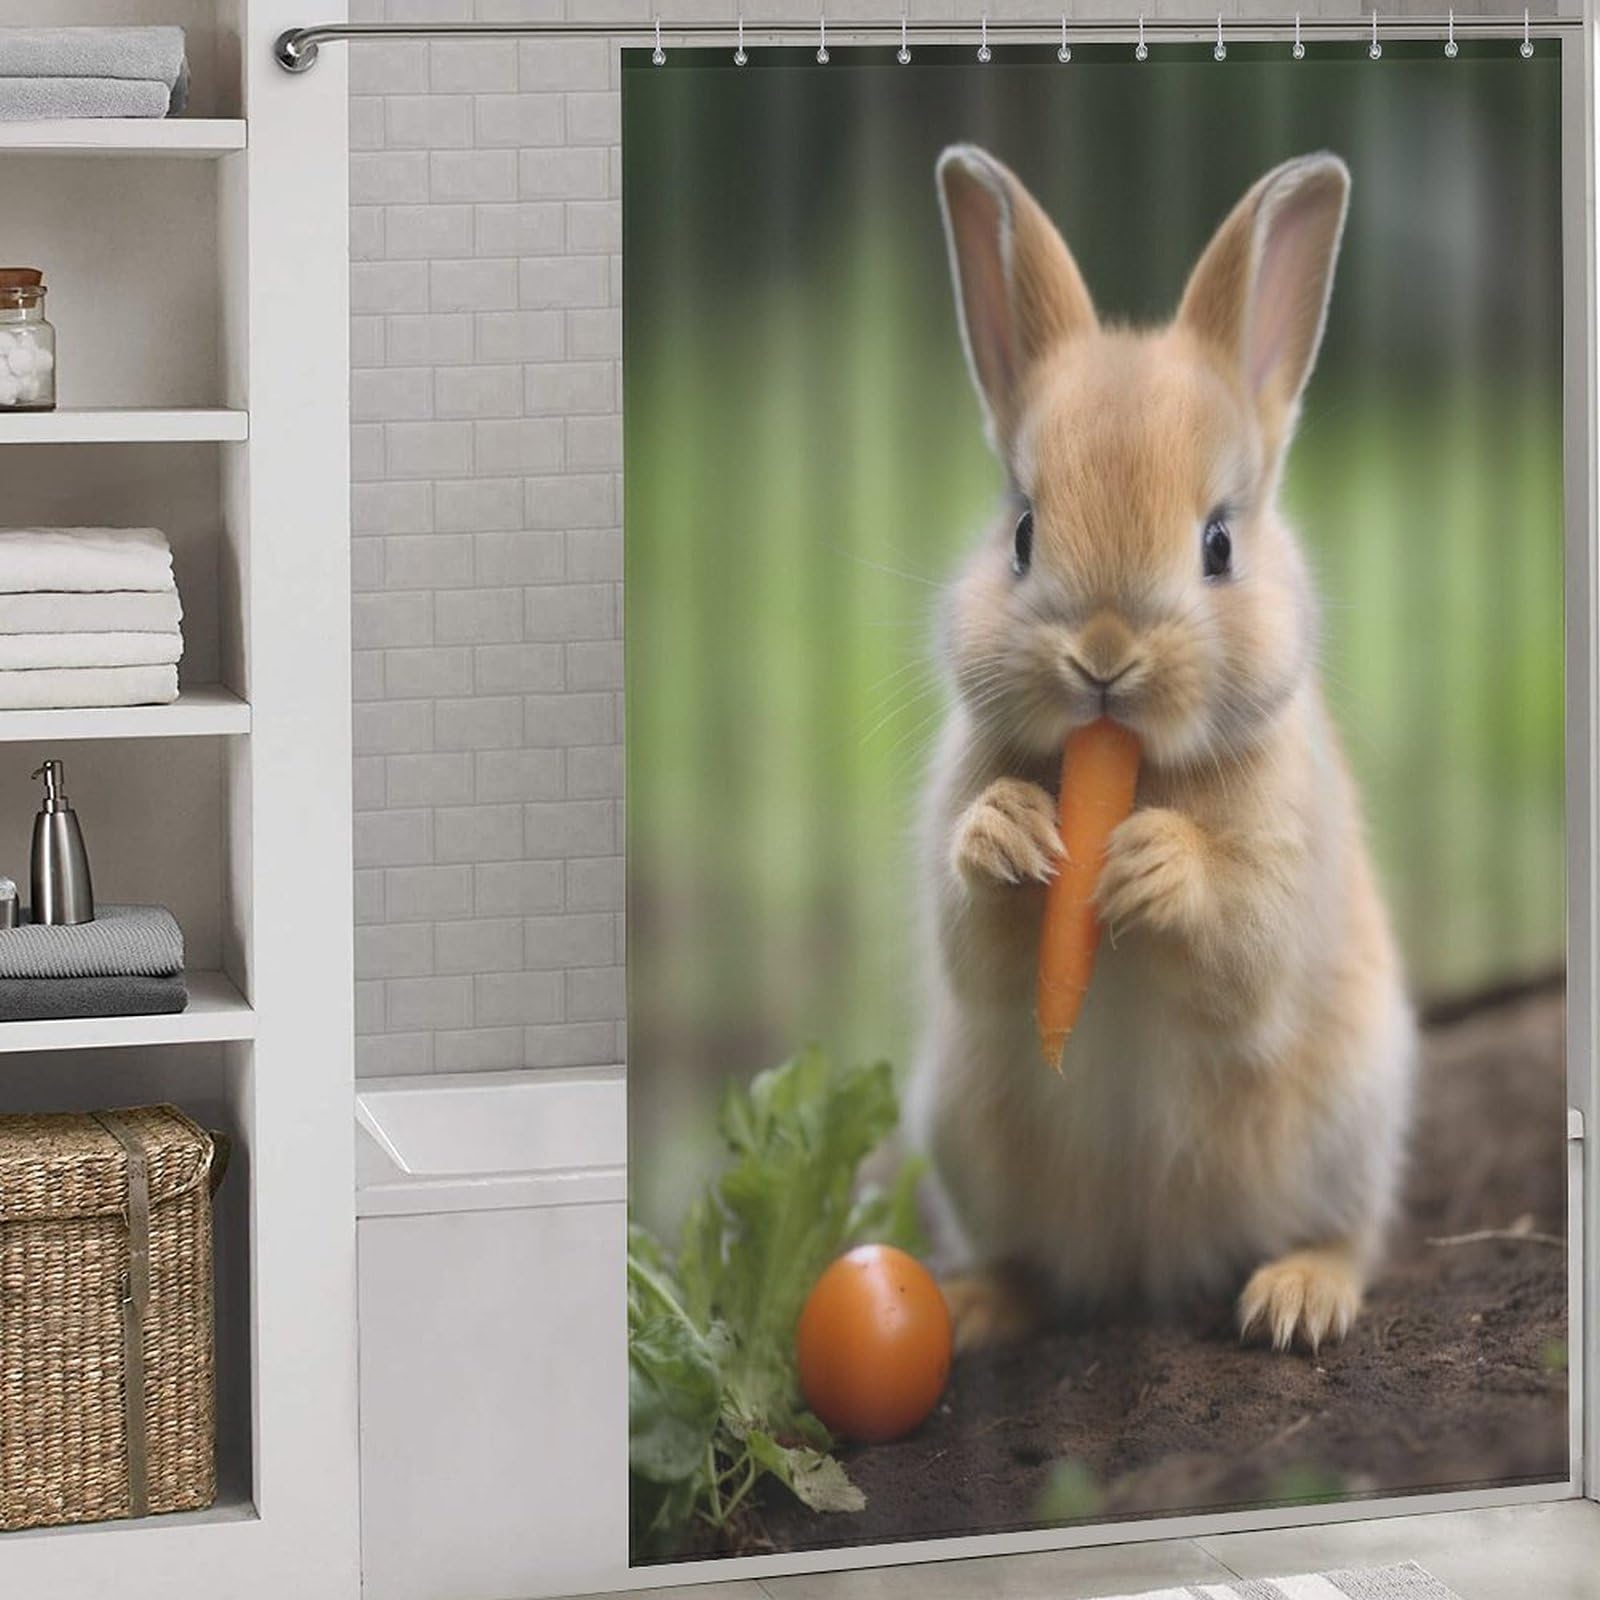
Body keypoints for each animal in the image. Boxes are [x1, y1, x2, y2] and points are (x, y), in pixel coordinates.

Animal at [904, 145, 1416, 1357]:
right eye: (1022, 532)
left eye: (1218, 543)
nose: (1103, 656)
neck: (1132, 765)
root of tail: (1145, 1266)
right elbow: (976, 933)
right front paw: (1012, 835)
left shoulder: (1280, 871)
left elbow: (1241, 940)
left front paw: (1149, 865)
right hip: (963, 1134)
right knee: (1032, 1266)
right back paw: (976, 1307)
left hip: (1351, 1120)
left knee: (1352, 1236)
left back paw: (1296, 1302)